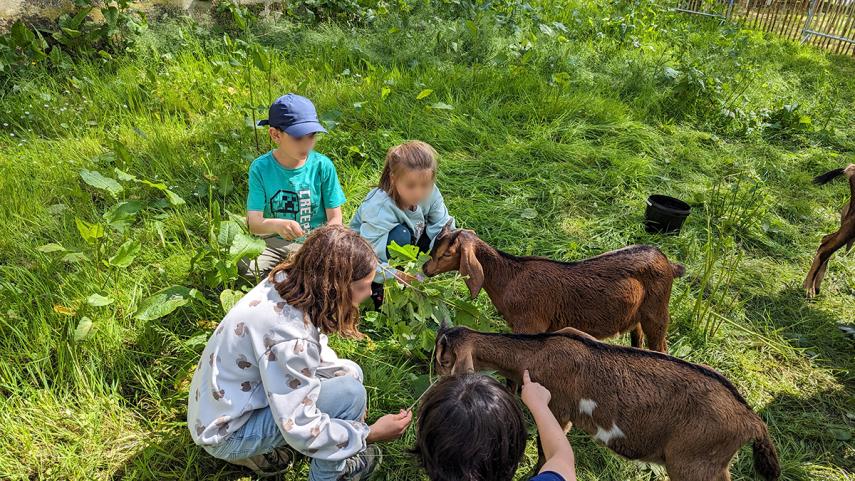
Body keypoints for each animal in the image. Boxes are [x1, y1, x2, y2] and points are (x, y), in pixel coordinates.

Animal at [424, 223, 684, 350]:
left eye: (447, 253)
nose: (426, 268)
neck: (510, 279)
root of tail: (667, 262)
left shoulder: (530, 326)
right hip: (636, 315)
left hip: (657, 313)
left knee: (660, 346)